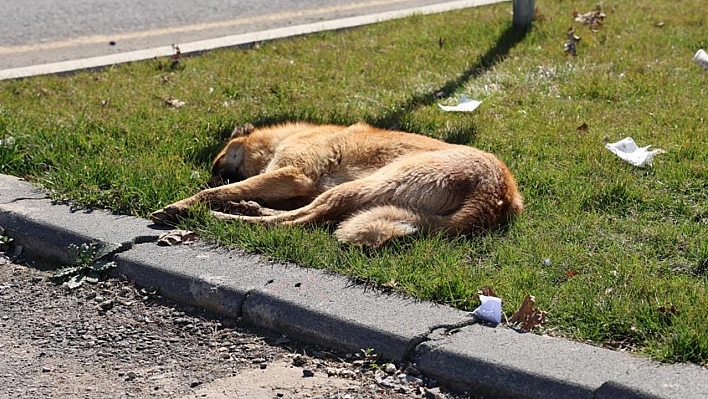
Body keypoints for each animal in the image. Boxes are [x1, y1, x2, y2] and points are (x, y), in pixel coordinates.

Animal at [149, 122, 524, 247]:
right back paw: (246, 209)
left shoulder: (292, 175)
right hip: (357, 193)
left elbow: (214, 192)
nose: (207, 172)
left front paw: (184, 204)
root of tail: (498, 194)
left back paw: (221, 217)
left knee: (297, 223)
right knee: (304, 218)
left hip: (368, 184)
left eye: (217, 164)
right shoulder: (294, 185)